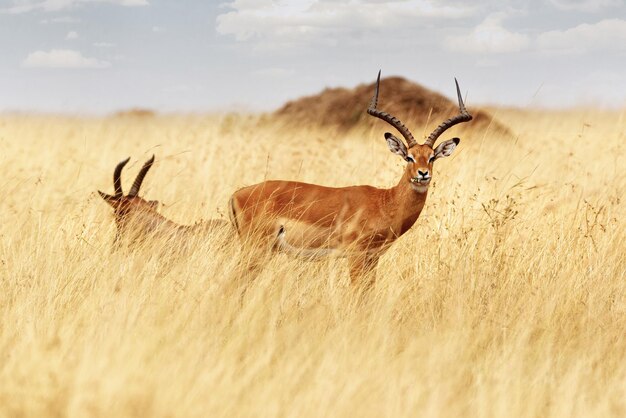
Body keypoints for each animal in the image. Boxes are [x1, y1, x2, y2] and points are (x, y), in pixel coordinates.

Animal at [227, 72, 470, 286]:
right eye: (409, 157)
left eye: (431, 157)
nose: (423, 173)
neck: (385, 202)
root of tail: (236, 195)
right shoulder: (356, 256)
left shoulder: (373, 259)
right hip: (256, 250)